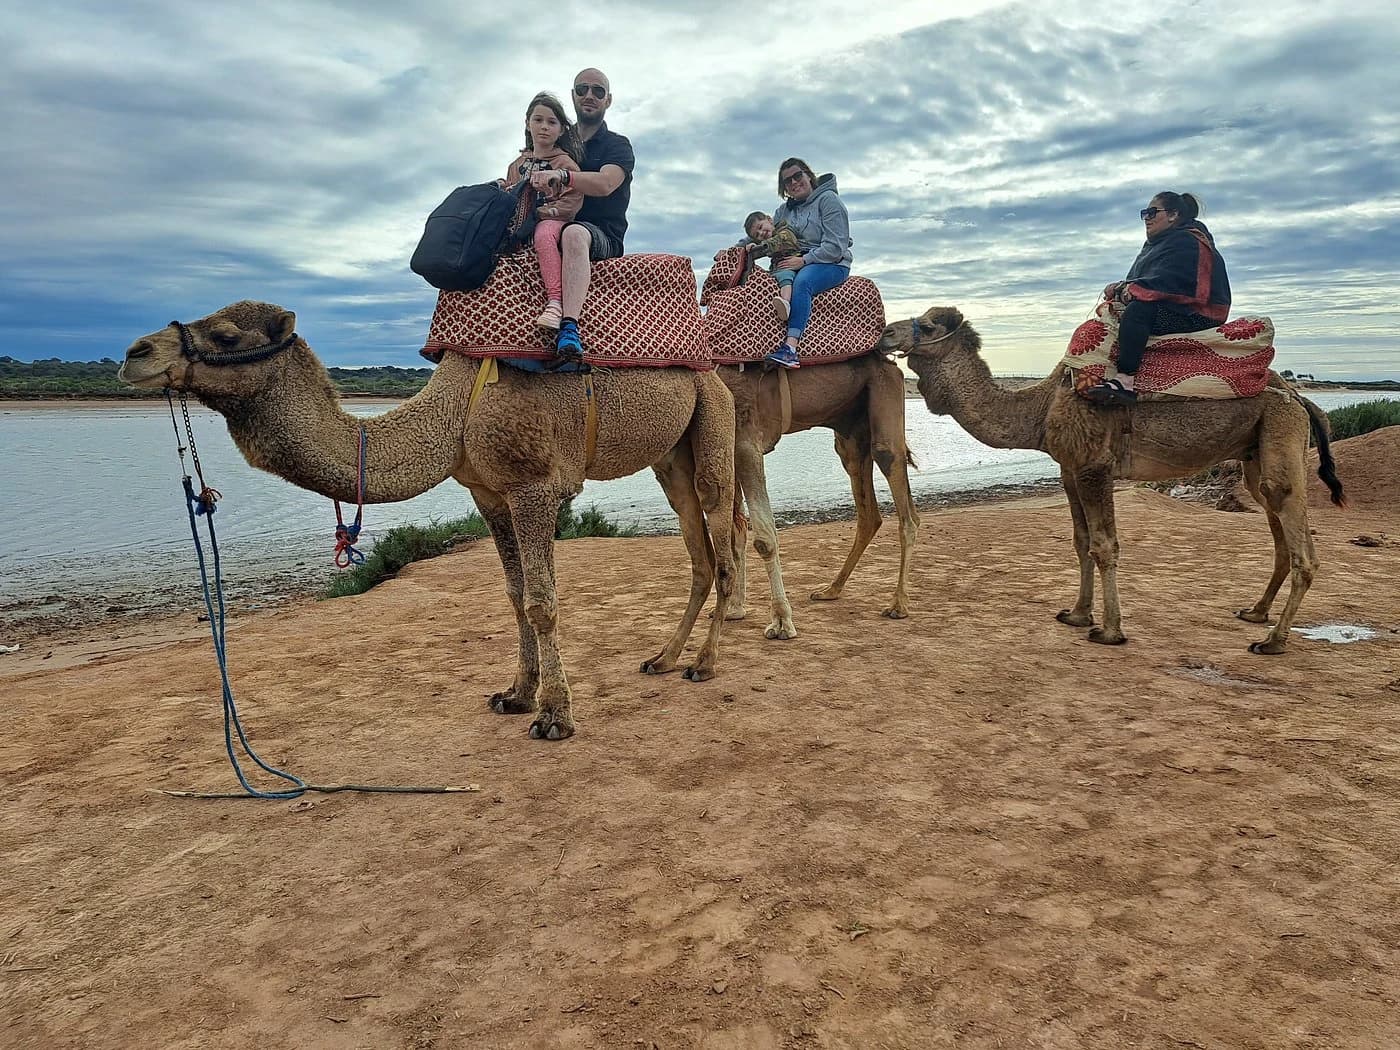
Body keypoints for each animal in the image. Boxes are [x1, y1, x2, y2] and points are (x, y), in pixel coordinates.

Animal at [118, 300, 738, 740]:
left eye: (226, 335)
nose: (135, 352)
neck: (452, 416)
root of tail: (711, 368)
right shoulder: (489, 494)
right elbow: (516, 597)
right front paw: (515, 695)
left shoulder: (535, 485)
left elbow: (542, 603)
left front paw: (554, 716)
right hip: (670, 456)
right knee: (699, 550)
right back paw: (664, 658)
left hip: (714, 419)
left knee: (724, 541)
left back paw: (705, 665)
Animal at [719, 358, 919, 639]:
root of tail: (890, 364)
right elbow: (736, 534)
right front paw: (735, 609)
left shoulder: (746, 441)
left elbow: (763, 539)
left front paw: (782, 622)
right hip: (850, 437)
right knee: (870, 515)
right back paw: (830, 590)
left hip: (884, 396)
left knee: (903, 505)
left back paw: (898, 605)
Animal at [878, 306, 1345, 654]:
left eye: (930, 324)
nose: (885, 333)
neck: (1039, 409)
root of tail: (1300, 398)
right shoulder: (1069, 470)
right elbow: (1081, 541)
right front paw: (1076, 614)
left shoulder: (1094, 467)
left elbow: (1105, 545)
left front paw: (1109, 630)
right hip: (1256, 453)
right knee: (1276, 524)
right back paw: (1256, 612)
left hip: (1281, 433)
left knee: (1300, 541)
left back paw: (1273, 640)